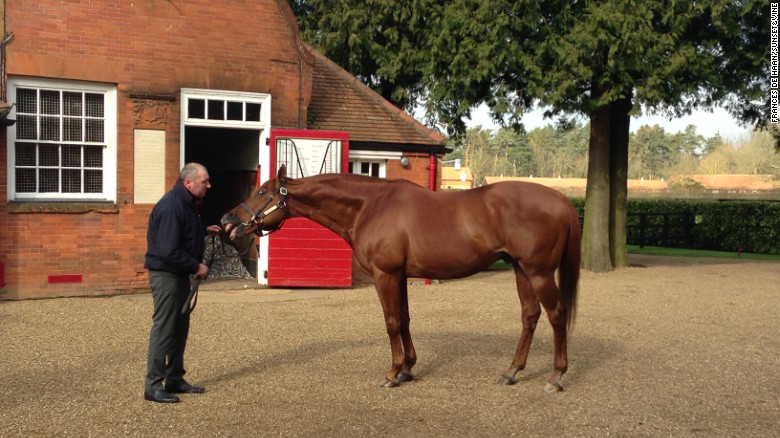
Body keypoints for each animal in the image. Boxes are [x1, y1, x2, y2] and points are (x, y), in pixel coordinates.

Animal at [219, 166, 580, 392]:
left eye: (262, 192)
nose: (227, 220)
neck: (371, 206)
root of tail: (560, 199)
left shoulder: (386, 274)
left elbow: (392, 322)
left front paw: (393, 373)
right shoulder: (401, 275)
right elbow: (405, 319)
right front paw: (408, 368)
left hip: (538, 271)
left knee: (557, 314)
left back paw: (556, 376)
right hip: (521, 269)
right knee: (530, 316)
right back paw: (511, 372)